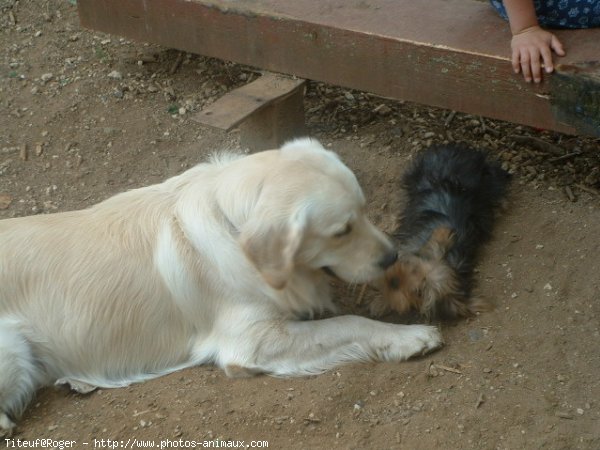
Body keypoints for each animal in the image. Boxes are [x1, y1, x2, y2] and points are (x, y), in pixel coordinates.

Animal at [0, 138, 440, 436]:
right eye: (341, 231)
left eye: (365, 210)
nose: (392, 257)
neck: (232, 223)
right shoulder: (251, 339)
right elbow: (349, 323)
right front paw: (410, 336)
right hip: (12, 352)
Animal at [372, 144, 508, 320]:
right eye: (413, 268)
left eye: (419, 293)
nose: (394, 281)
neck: (452, 258)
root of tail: (471, 154)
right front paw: (379, 301)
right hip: (420, 173)